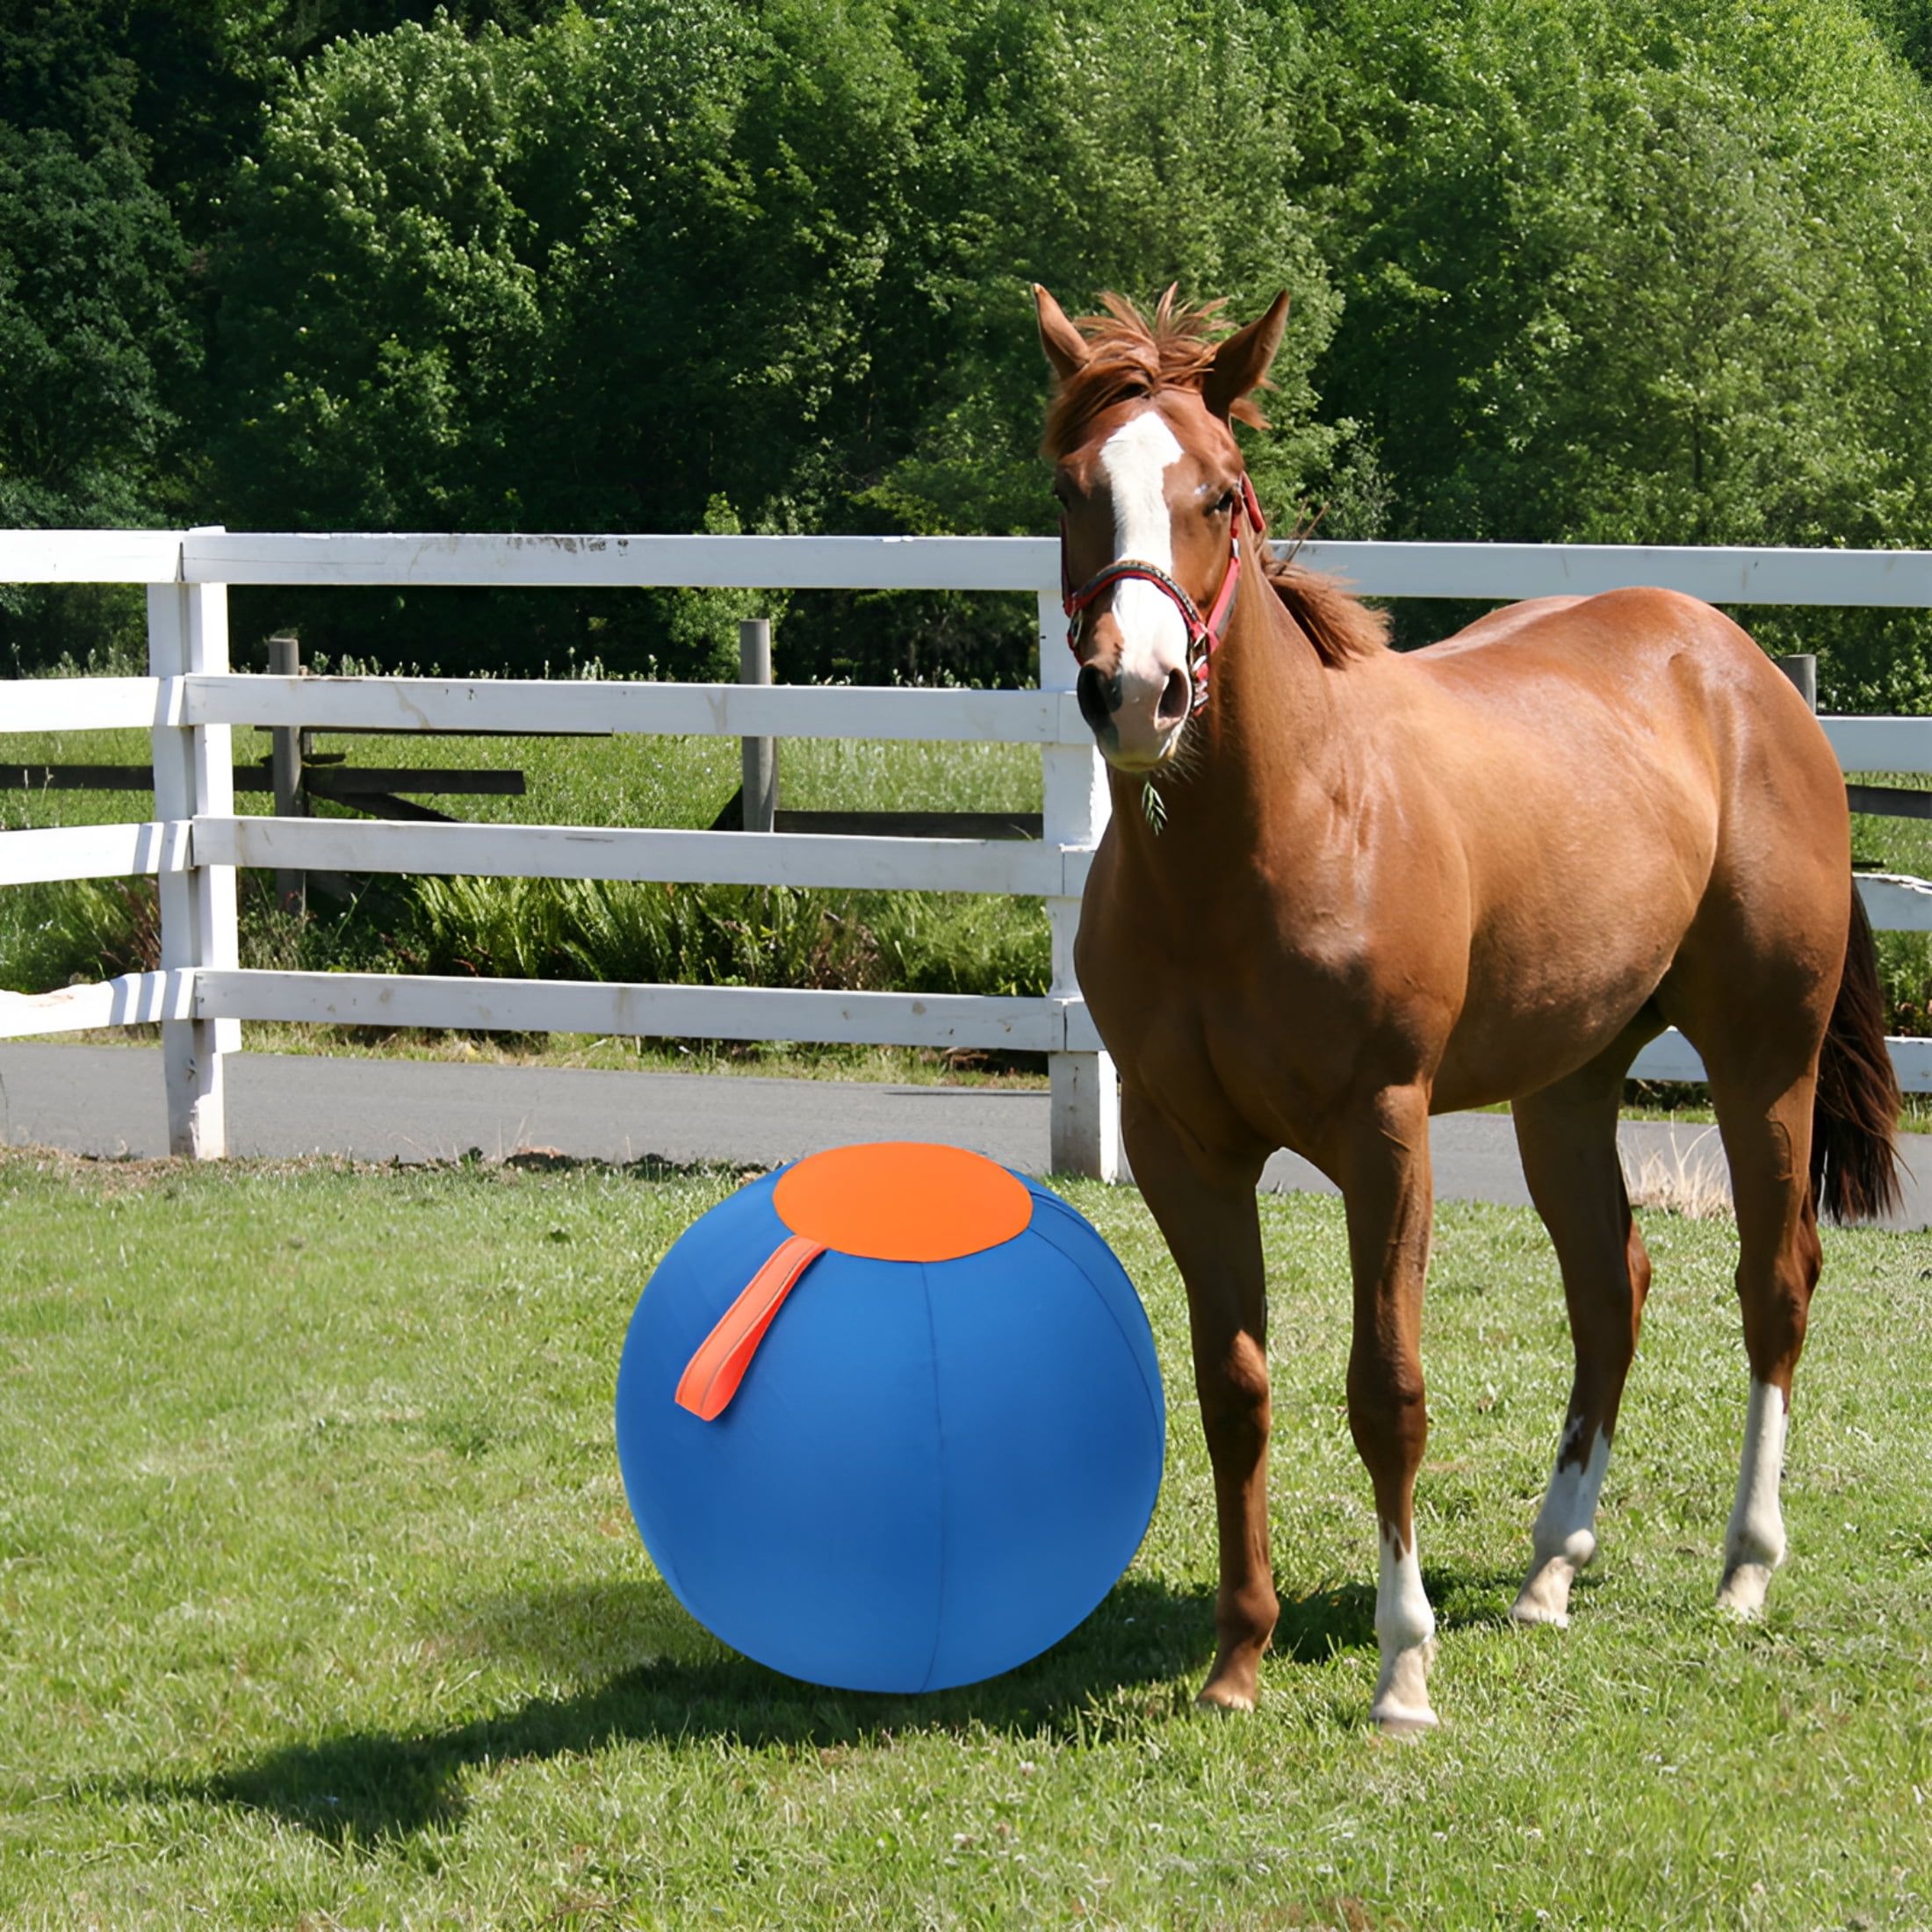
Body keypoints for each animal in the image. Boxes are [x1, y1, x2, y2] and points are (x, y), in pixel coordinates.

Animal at [1035, 283, 1902, 1733]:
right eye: (1072, 488)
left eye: (1218, 491)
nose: (1136, 691)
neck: (1269, 835)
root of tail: (1746, 671)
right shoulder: (1179, 1147)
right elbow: (1233, 1388)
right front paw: (1237, 1661)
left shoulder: (1387, 1134)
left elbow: (1387, 1393)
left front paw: (1403, 1670)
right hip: (1566, 1088)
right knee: (1611, 1288)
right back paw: (1552, 1567)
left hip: (1762, 1062)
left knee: (1774, 1282)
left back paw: (1744, 1567)